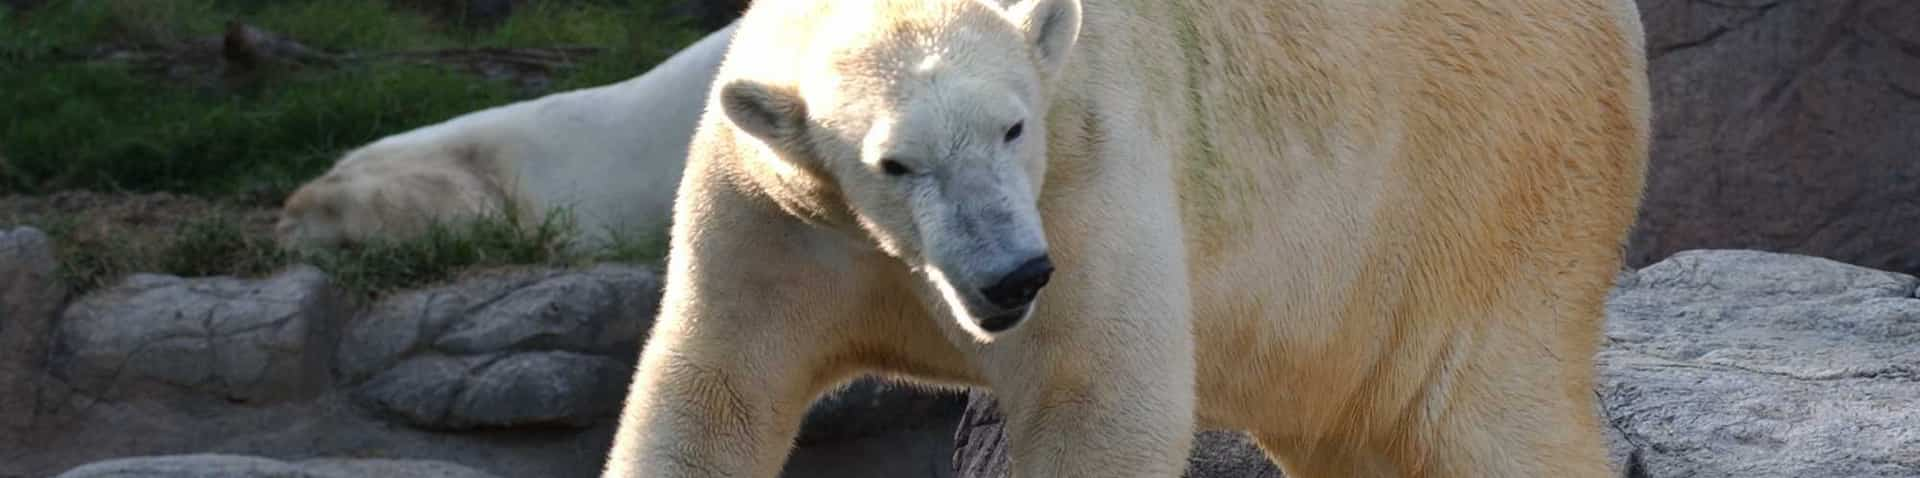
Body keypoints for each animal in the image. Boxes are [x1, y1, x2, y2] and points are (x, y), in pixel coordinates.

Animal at [610, 0, 1651, 476]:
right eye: (893, 162)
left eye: (1013, 127)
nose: (1012, 276)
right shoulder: (776, 213)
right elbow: (716, 389)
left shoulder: (1087, 174)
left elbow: (1098, 396)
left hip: (1488, 187)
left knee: (1486, 417)